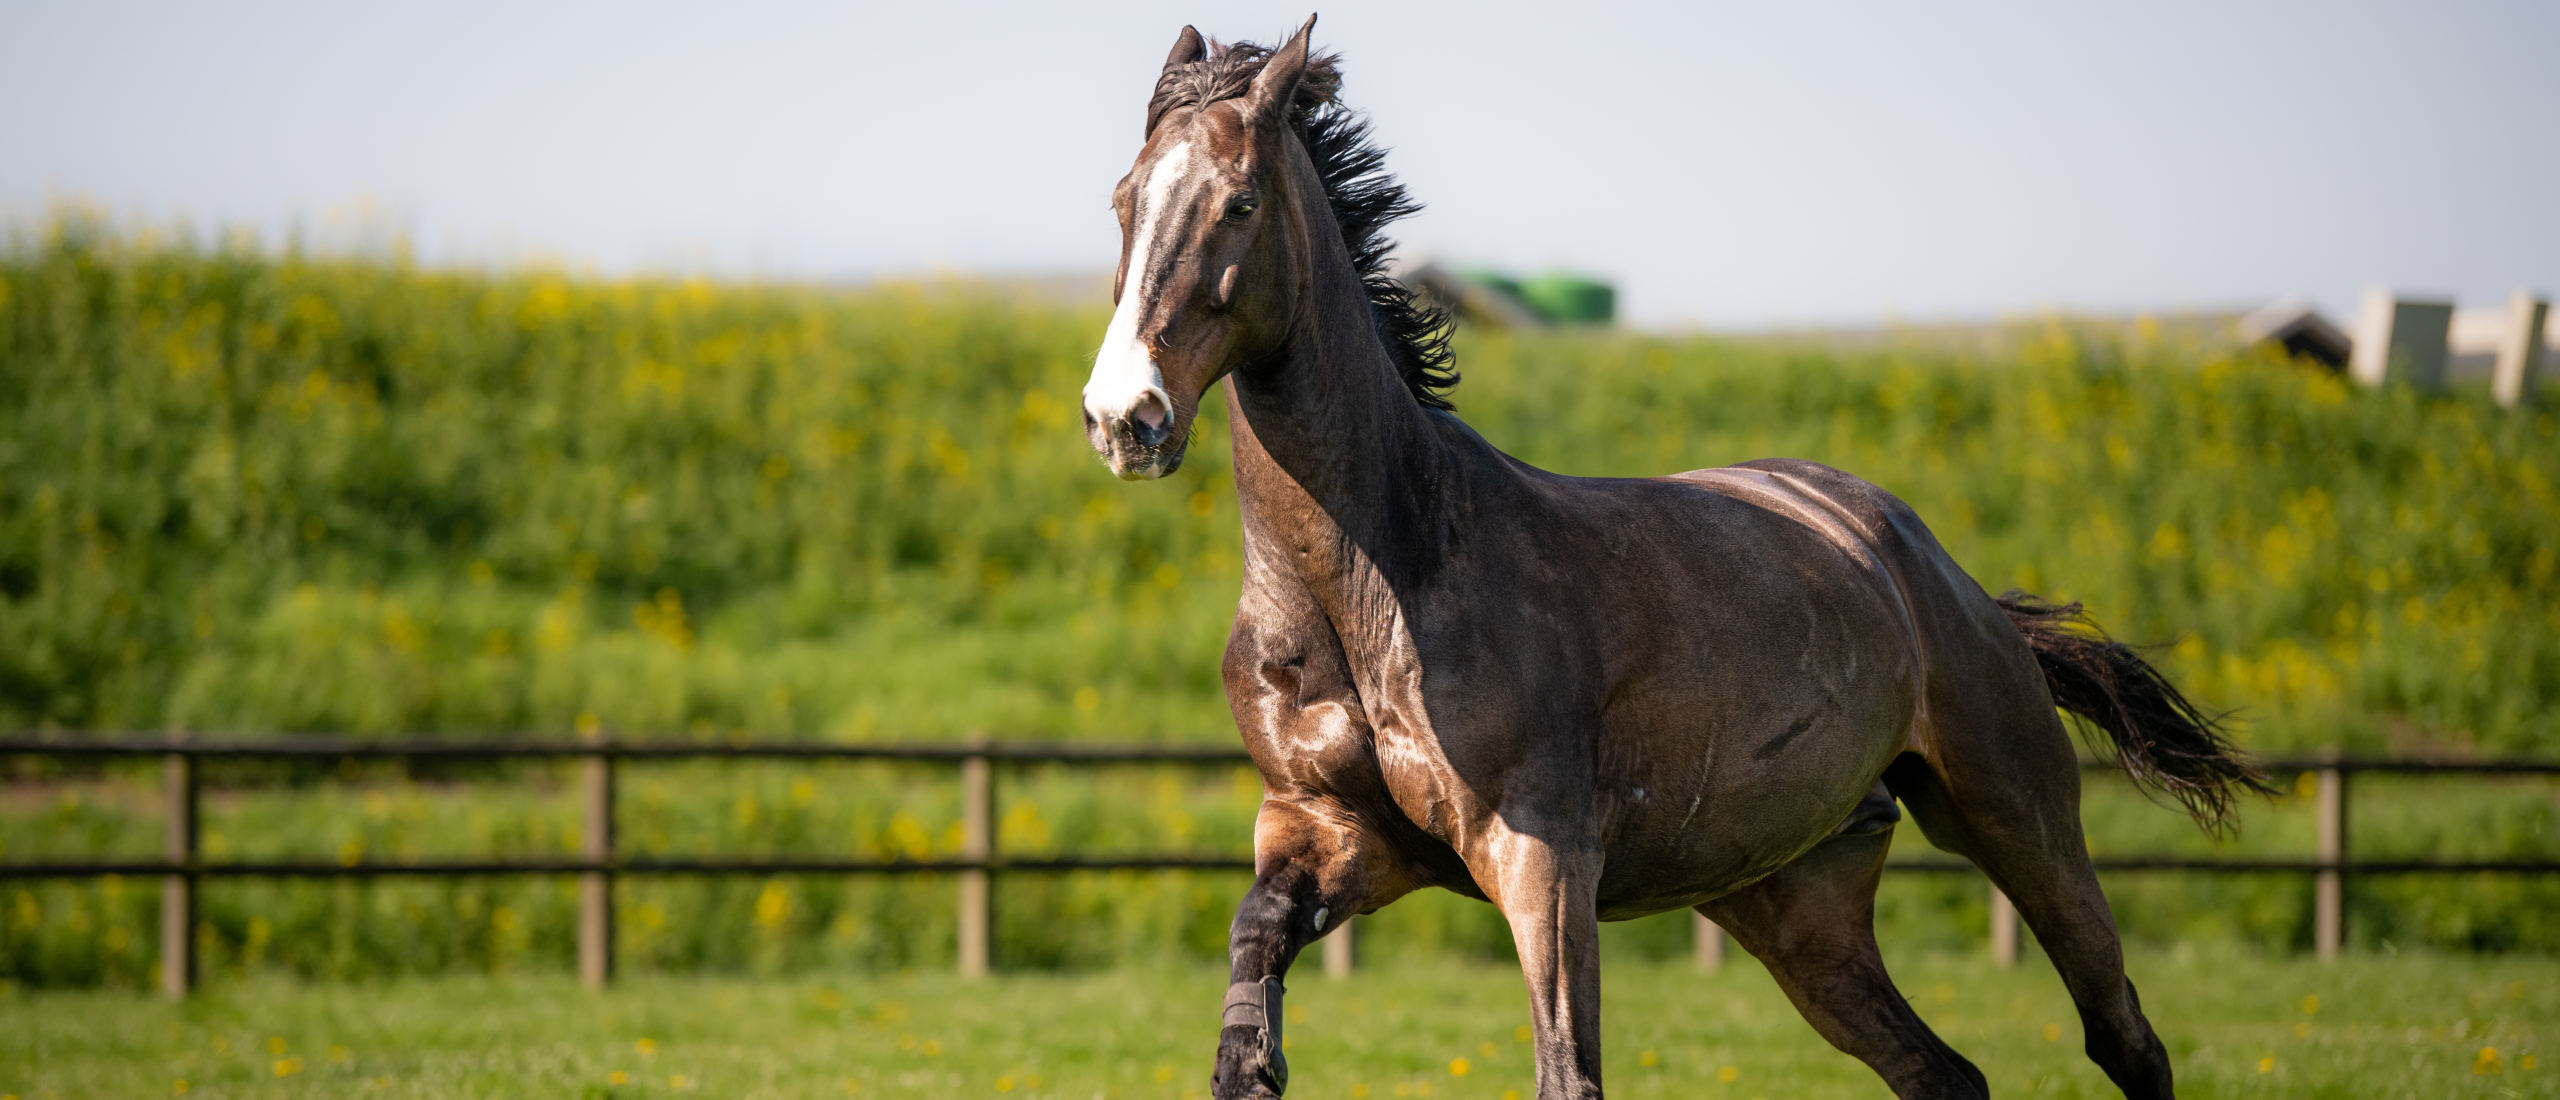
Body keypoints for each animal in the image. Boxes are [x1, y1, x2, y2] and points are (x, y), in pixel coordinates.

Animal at [1070, 19, 2273, 1100]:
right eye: (1124, 201)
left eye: (1239, 203)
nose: (1125, 417)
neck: (1379, 579)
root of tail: (1945, 579)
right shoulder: (1325, 832)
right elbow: (1250, 970)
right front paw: (1253, 1054)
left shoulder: (1544, 859)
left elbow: (1568, 1071)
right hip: (1794, 904)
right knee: (1944, 1074)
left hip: (2016, 818)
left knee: (2125, 1038)